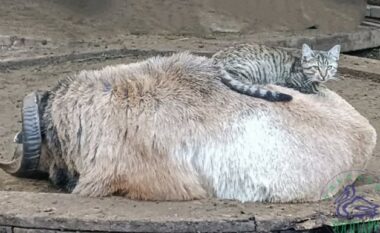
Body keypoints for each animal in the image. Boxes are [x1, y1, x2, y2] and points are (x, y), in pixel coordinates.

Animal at [211, 43, 342, 101]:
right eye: (316, 67)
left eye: (329, 67)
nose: (324, 76)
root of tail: (217, 56)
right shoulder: (289, 83)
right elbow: (311, 90)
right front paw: (320, 91)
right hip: (255, 67)